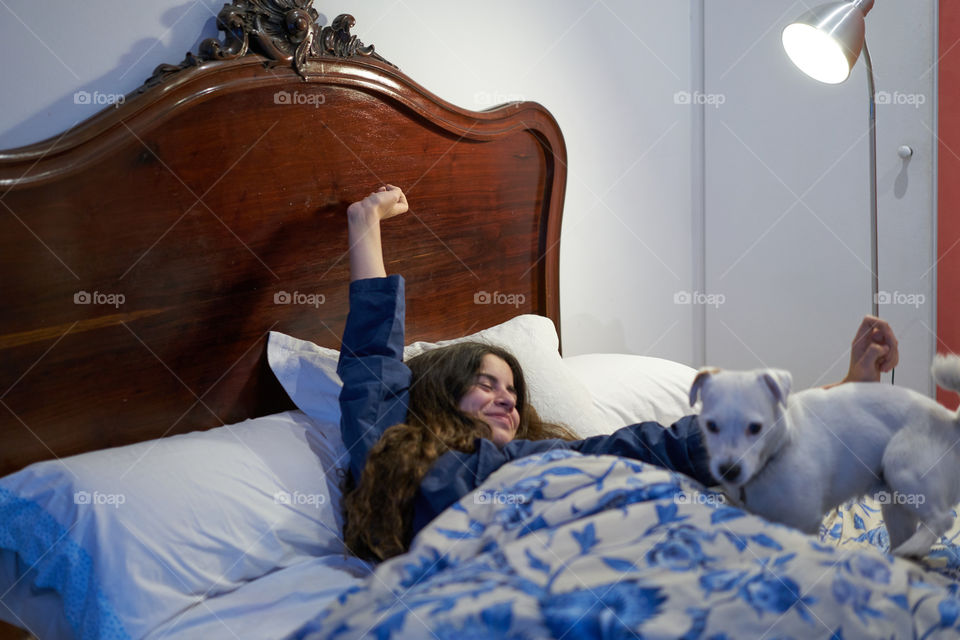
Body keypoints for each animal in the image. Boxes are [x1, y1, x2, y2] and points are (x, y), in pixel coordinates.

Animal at [688, 356, 960, 556]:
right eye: (711, 426)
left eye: (755, 427)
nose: (729, 470)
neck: (780, 450)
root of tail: (950, 422)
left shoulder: (805, 521)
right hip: (896, 508)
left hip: (903, 468)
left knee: (942, 519)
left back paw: (911, 548)